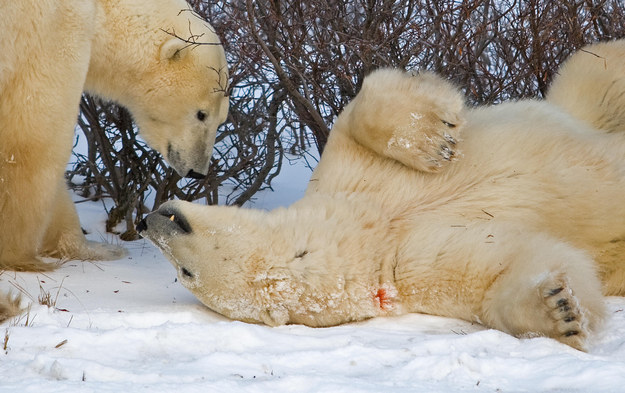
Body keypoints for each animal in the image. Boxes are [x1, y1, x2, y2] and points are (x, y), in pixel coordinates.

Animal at [0, 0, 229, 278]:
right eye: (201, 114)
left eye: (222, 119)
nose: (198, 171)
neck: (102, 9)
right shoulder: (53, 31)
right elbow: (34, 137)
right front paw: (21, 256)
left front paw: (95, 247)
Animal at [139, 41, 624, 350]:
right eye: (185, 273)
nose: (149, 221)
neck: (366, 228)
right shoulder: (411, 266)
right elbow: (501, 266)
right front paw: (559, 310)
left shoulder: (345, 178)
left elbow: (362, 107)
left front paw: (436, 141)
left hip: (577, 106)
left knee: (596, 71)